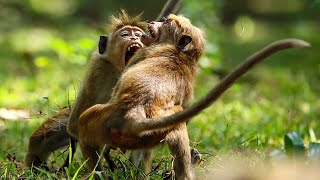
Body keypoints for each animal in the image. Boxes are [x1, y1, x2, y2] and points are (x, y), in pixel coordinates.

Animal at [77, 13, 310, 180]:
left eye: (166, 22)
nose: (152, 22)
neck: (183, 53)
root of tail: (133, 113)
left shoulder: (143, 53)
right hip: (153, 129)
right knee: (178, 123)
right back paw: (185, 173)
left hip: (103, 120)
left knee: (84, 122)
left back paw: (95, 173)